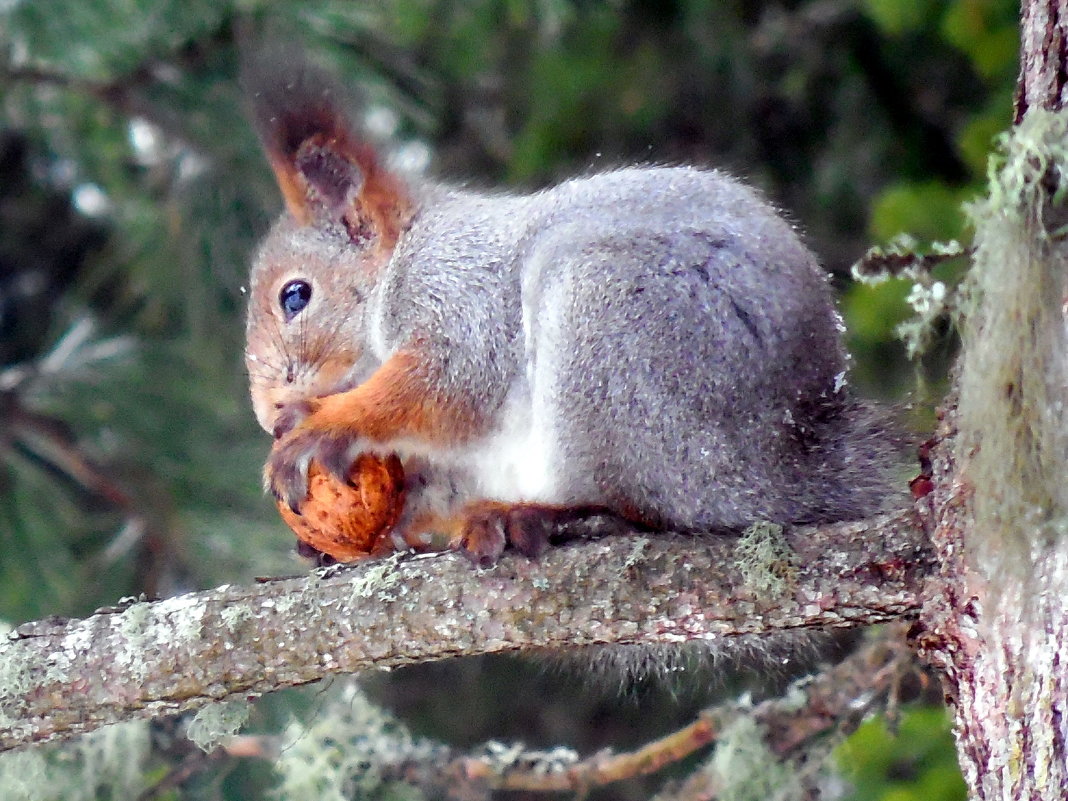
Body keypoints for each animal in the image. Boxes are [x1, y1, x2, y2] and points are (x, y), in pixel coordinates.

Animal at [242, 59, 901, 568]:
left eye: (295, 296)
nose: (267, 413)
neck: (403, 255)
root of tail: (784, 470)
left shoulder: (461, 294)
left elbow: (450, 385)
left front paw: (322, 425)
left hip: (611, 336)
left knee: (643, 507)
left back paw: (538, 515)